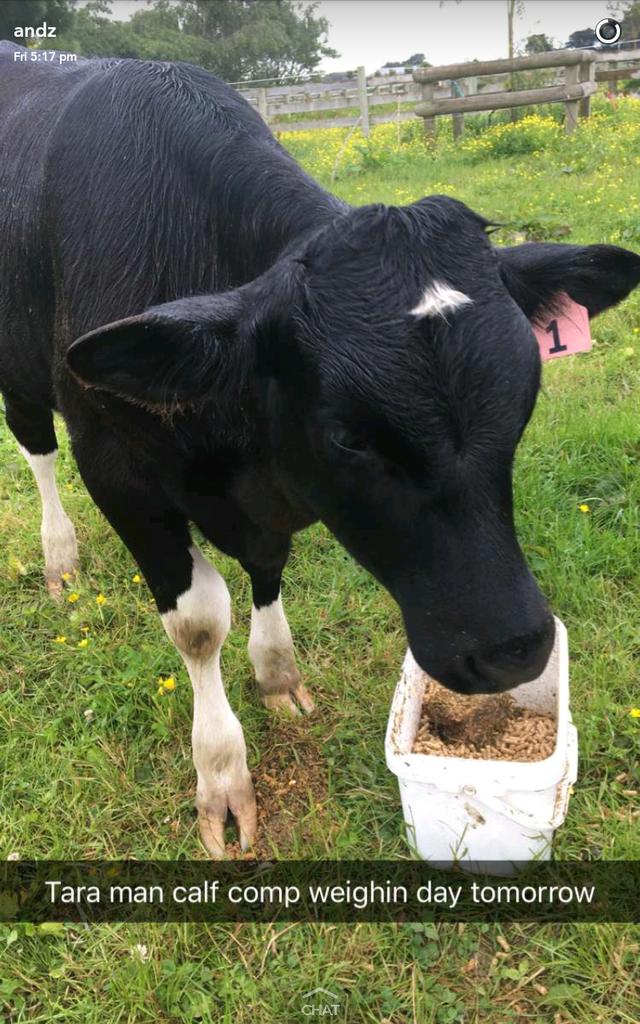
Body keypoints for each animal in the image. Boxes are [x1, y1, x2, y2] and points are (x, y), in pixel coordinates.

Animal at [1, 41, 639, 856]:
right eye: (347, 435)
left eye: (524, 394)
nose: (514, 647)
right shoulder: (116, 471)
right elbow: (199, 621)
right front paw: (222, 778)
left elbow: (268, 568)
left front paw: (277, 674)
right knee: (36, 449)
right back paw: (60, 559)